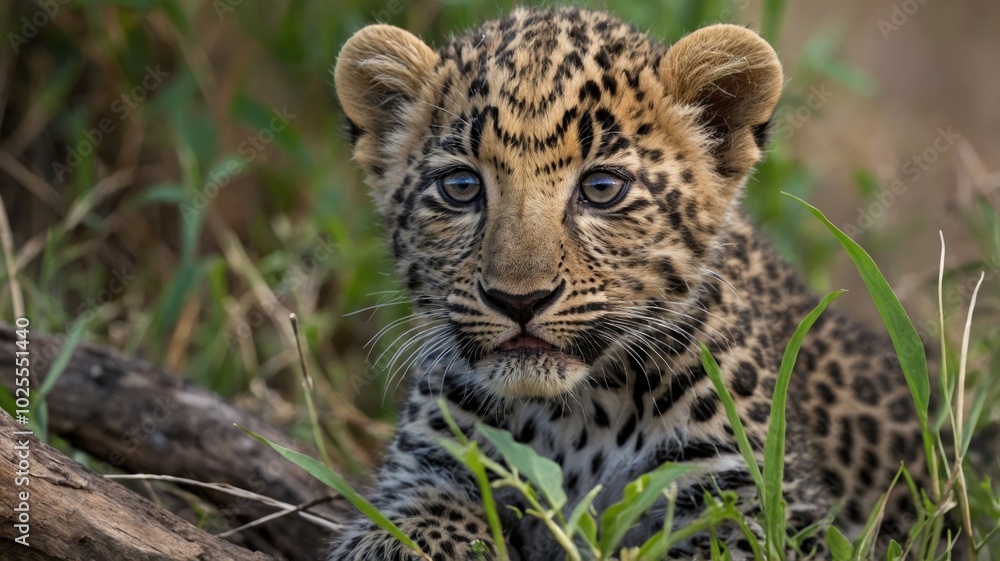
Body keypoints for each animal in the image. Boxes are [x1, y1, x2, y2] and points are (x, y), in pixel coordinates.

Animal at [329, 7, 927, 560]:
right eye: (461, 186)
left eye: (601, 187)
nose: (519, 300)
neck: (573, 416)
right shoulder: (432, 464)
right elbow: (412, 523)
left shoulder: (762, 505)